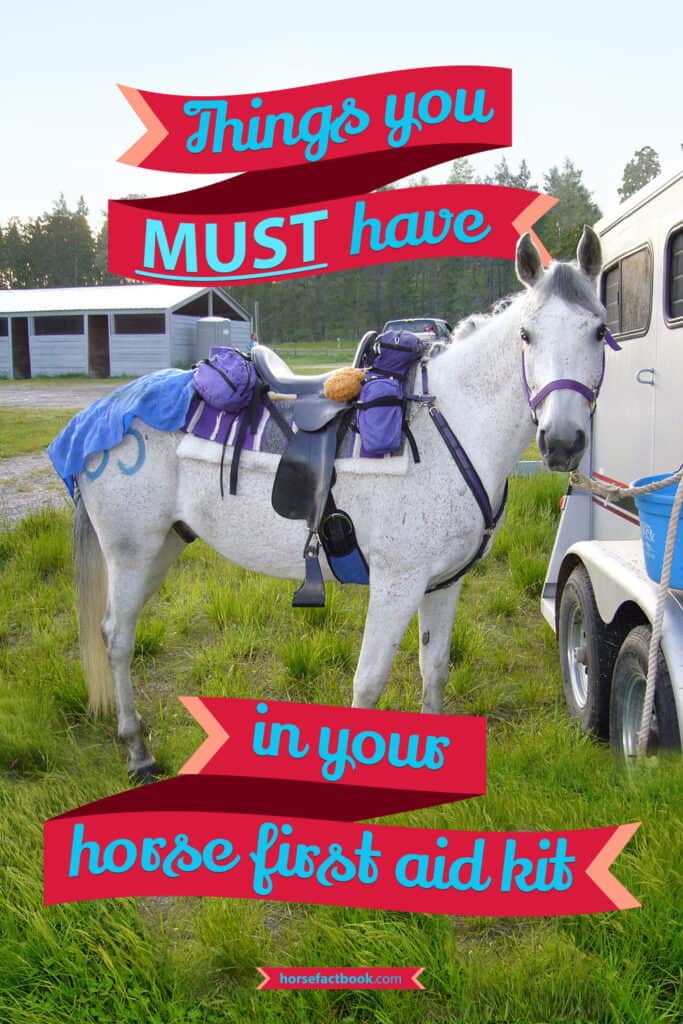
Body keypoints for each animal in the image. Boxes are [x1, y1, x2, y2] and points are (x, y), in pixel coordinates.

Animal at [72, 227, 606, 780]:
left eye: (599, 331)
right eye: (526, 335)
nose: (562, 442)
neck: (451, 425)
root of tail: (105, 411)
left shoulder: (443, 583)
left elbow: (433, 669)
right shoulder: (397, 584)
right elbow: (368, 683)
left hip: (162, 547)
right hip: (131, 551)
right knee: (117, 637)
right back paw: (137, 751)